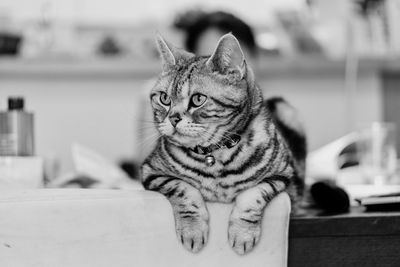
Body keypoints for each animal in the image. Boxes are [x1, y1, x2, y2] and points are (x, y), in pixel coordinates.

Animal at [141, 33, 306, 255]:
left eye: (198, 99)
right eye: (164, 98)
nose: (173, 118)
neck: (214, 155)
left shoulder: (283, 174)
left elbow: (254, 195)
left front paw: (243, 234)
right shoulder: (151, 171)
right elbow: (183, 189)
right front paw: (192, 231)